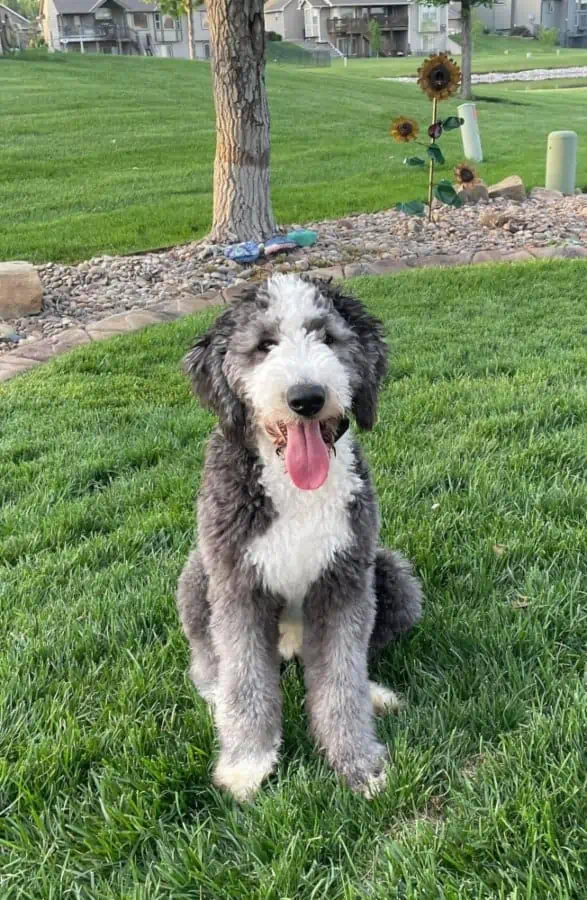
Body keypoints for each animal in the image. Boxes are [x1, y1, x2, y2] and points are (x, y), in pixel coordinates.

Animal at [176, 274, 422, 800]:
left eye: (327, 336)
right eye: (264, 345)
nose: (307, 398)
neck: (296, 488)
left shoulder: (344, 580)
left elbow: (341, 678)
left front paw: (358, 763)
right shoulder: (238, 585)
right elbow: (246, 678)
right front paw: (247, 763)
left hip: (392, 575)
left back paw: (375, 695)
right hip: (195, 576)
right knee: (208, 660)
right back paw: (216, 697)